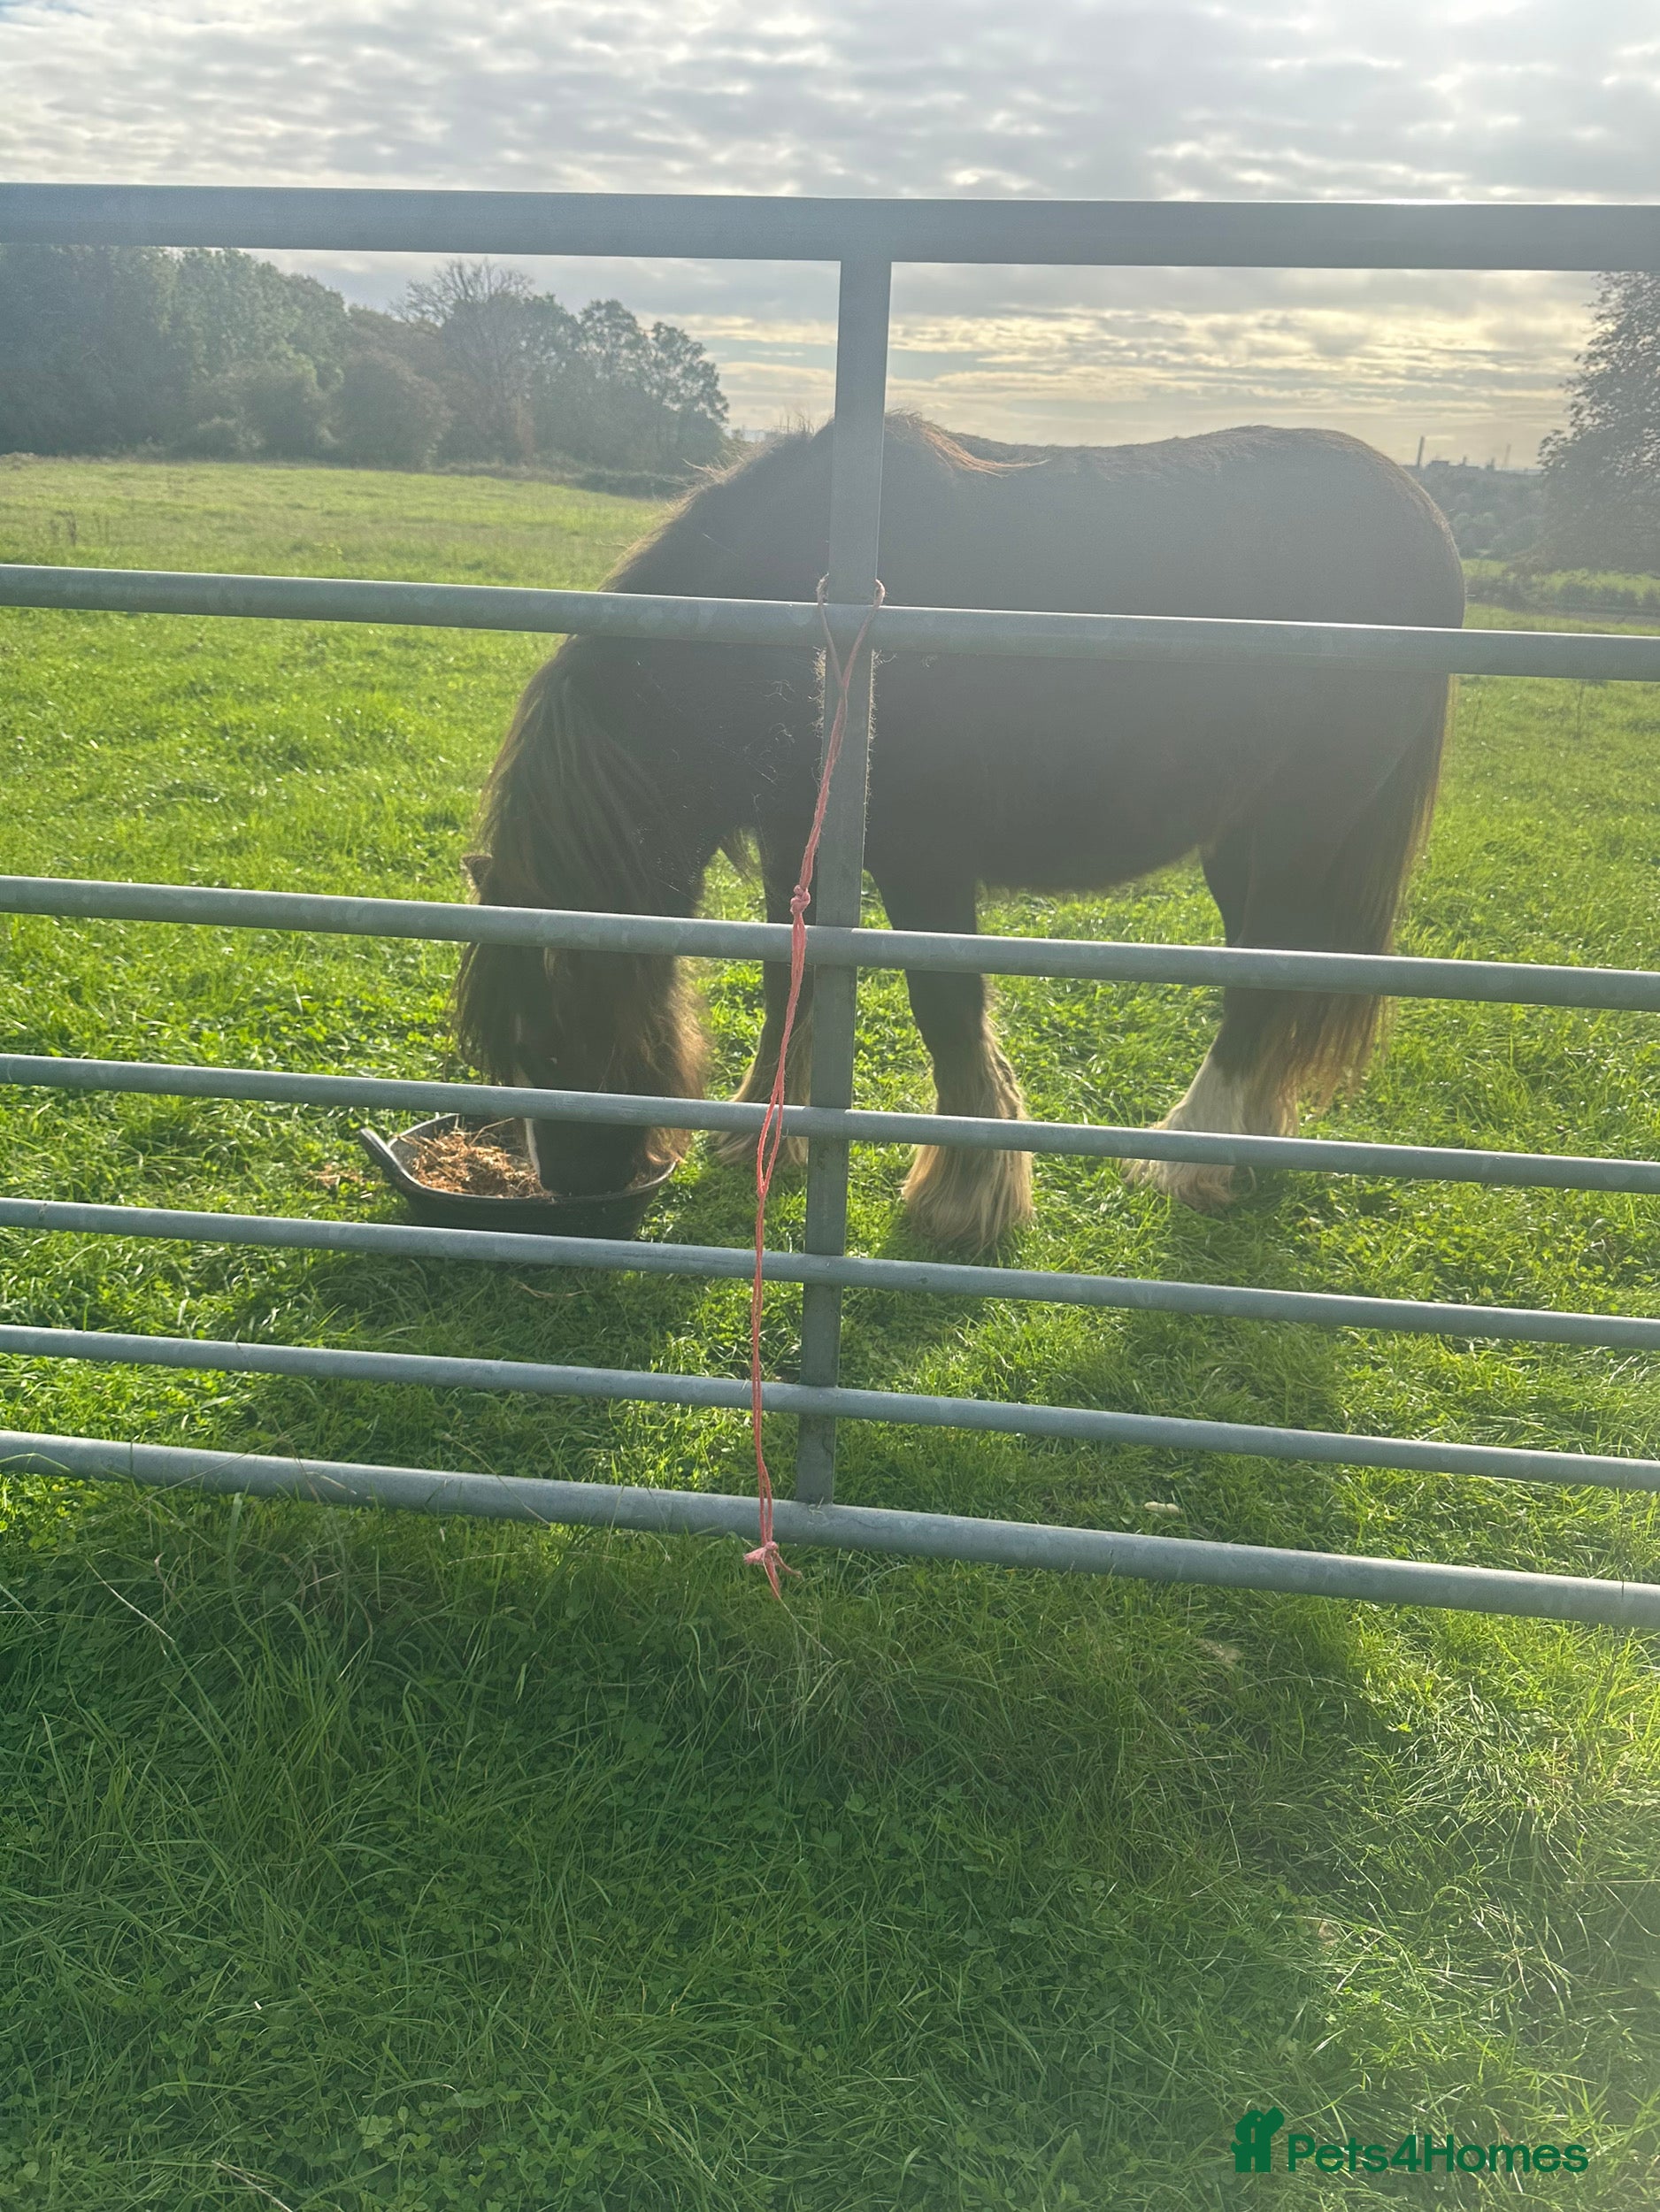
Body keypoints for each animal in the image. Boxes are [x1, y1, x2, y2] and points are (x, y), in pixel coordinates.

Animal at [456, 413, 1465, 1250]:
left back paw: (1187, 1158)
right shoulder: (795, 846)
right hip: (1242, 846)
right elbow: (790, 982)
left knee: (1260, 985)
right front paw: (763, 1138)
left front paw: (967, 1196)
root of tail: (1422, 515)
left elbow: (946, 1010)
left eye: (549, 1035)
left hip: (1303, 831)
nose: (574, 1189)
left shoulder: (924, 861)